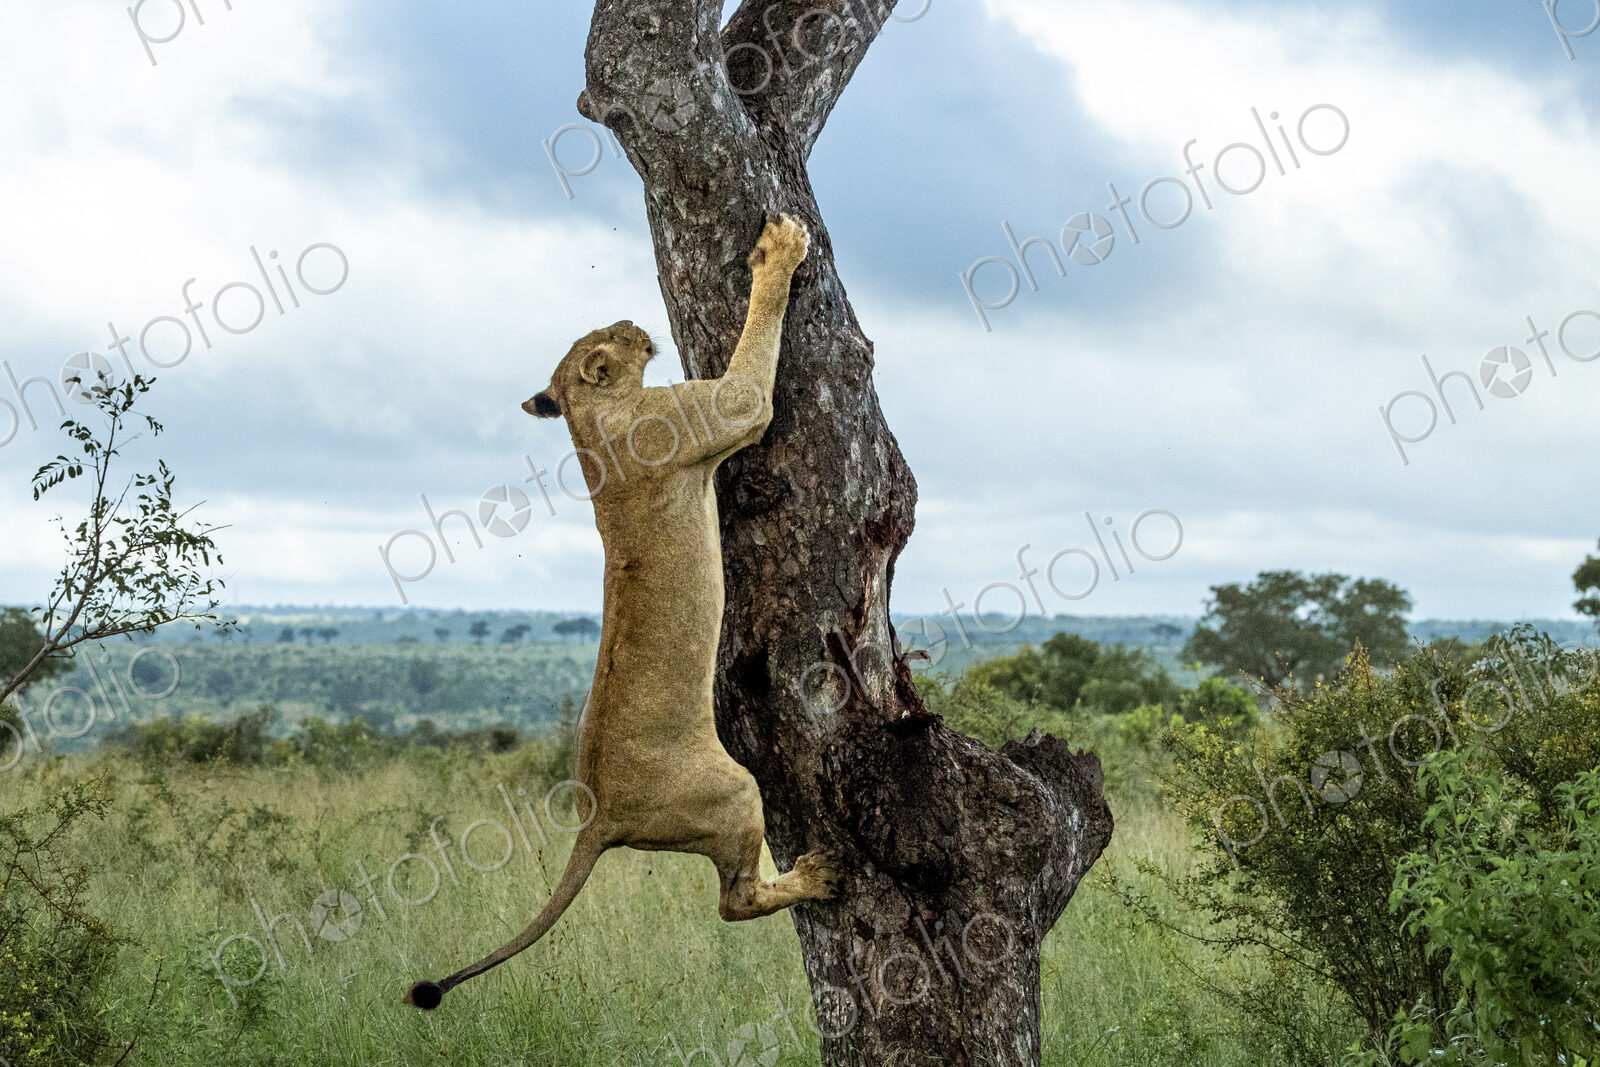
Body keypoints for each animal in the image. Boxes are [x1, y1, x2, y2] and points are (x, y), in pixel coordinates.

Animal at [405, 215, 838, 1011]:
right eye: (612, 335)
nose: (635, 318)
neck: (589, 422)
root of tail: (597, 817)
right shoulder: (722, 406)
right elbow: (754, 360)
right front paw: (779, 251)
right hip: (733, 790)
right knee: (733, 901)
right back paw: (815, 874)